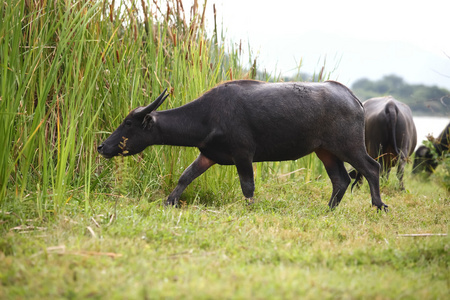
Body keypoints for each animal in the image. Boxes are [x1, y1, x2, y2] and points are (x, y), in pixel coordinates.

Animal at [97, 80, 386, 211]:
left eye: (128, 123)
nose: (102, 147)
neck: (208, 115)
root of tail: (353, 97)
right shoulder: (208, 155)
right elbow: (185, 177)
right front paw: (170, 201)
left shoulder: (243, 154)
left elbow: (247, 186)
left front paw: (250, 208)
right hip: (325, 150)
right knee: (341, 180)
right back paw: (328, 209)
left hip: (349, 146)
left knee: (372, 168)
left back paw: (378, 204)